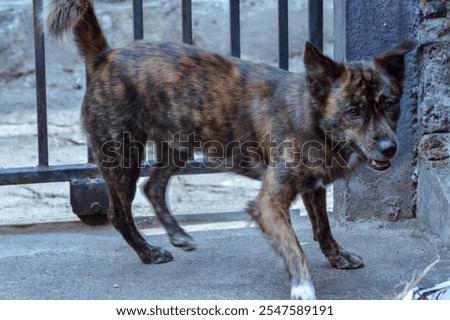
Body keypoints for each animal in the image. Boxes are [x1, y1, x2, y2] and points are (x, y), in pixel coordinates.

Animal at [44, 0, 414, 300]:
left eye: (389, 104)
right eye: (353, 111)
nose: (389, 148)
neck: (311, 118)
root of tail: (105, 56)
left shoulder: (313, 186)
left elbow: (323, 227)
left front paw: (338, 257)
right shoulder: (269, 203)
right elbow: (294, 246)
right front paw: (303, 287)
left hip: (179, 146)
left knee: (154, 187)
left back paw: (178, 235)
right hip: (122, 158)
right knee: (118, 213)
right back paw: (148, 252)